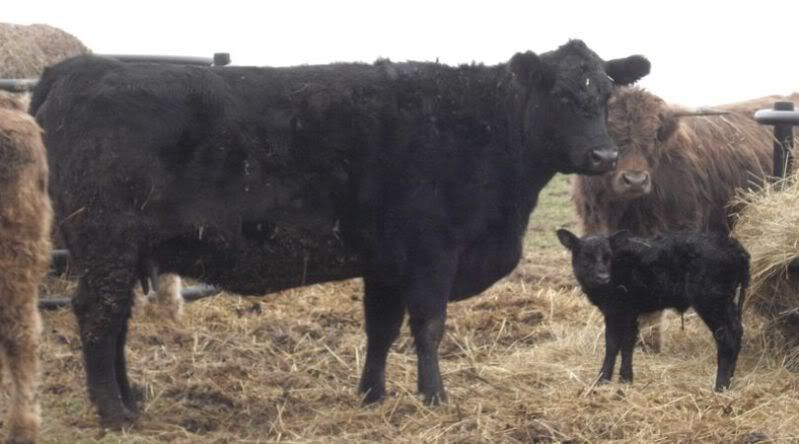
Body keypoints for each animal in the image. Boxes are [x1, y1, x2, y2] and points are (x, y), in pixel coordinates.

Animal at [31, 39, 650, 428]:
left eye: (607, 95)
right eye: (563, 96)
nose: (604, 156)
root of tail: (74, 70)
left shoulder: (387, 262)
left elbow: (380, 328)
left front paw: (372, 395)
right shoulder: (432, 253)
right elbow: (428, 328)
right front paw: (434, 397)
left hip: (121, 249)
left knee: (115, 320)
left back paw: (130, 402)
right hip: (106, 240)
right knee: (99, 314)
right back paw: (114, 414)